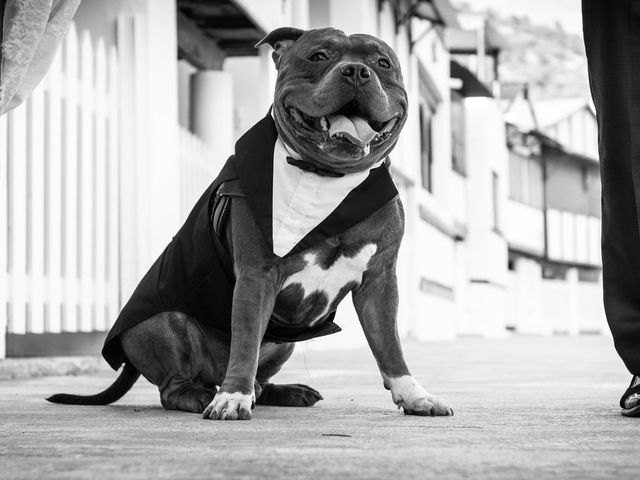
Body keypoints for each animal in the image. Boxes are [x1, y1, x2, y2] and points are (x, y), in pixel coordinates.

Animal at [47, 27, 452, 420]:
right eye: (318, 55)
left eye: (383, 63)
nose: (355, 71)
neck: (325, 178)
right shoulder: (257, 275)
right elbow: (244, 343)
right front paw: (231, 399)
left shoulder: (379, 281)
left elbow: (390, 346)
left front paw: (415, 395)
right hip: (165, 320)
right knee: (174, 386)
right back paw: (202, 394)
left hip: (283, 343)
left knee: (260, 378)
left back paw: (284, 392)